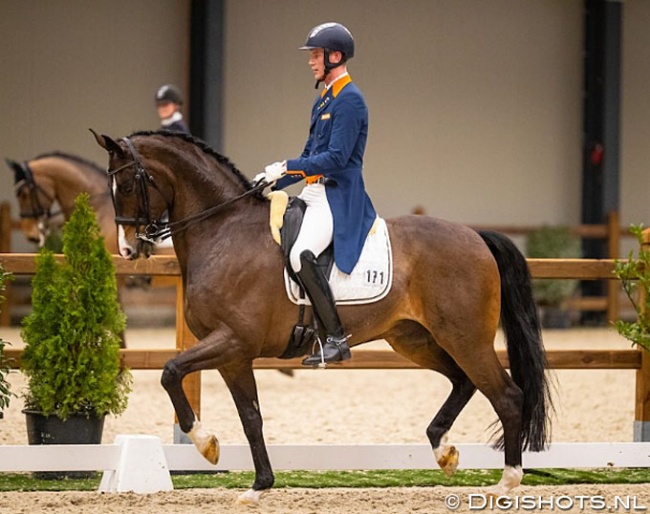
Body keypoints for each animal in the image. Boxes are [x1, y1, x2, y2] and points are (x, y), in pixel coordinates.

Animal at [93, 129, 552, 504]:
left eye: (128, 183)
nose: (129, 249)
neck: (224, 231)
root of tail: (476, 235)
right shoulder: (233, 355)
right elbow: (251, 417)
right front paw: (258, 485)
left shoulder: (232, 340)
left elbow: (171, 371)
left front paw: (206, 444)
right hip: (415, 339)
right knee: (462, 382)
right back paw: (444, 452)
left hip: (465, 338)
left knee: (506, 395)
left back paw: (507, 481)